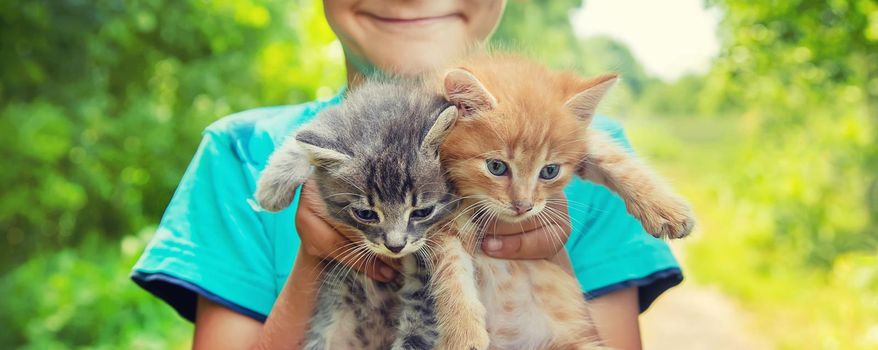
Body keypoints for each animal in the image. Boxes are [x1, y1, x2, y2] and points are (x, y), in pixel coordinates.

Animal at [254, 80, 460, 350]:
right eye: (366, 214)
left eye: (422, 212)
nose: (395, 246)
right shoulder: (335, 120)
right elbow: (304, 135)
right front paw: (272, 186)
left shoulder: (426, 287)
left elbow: (419, 330)